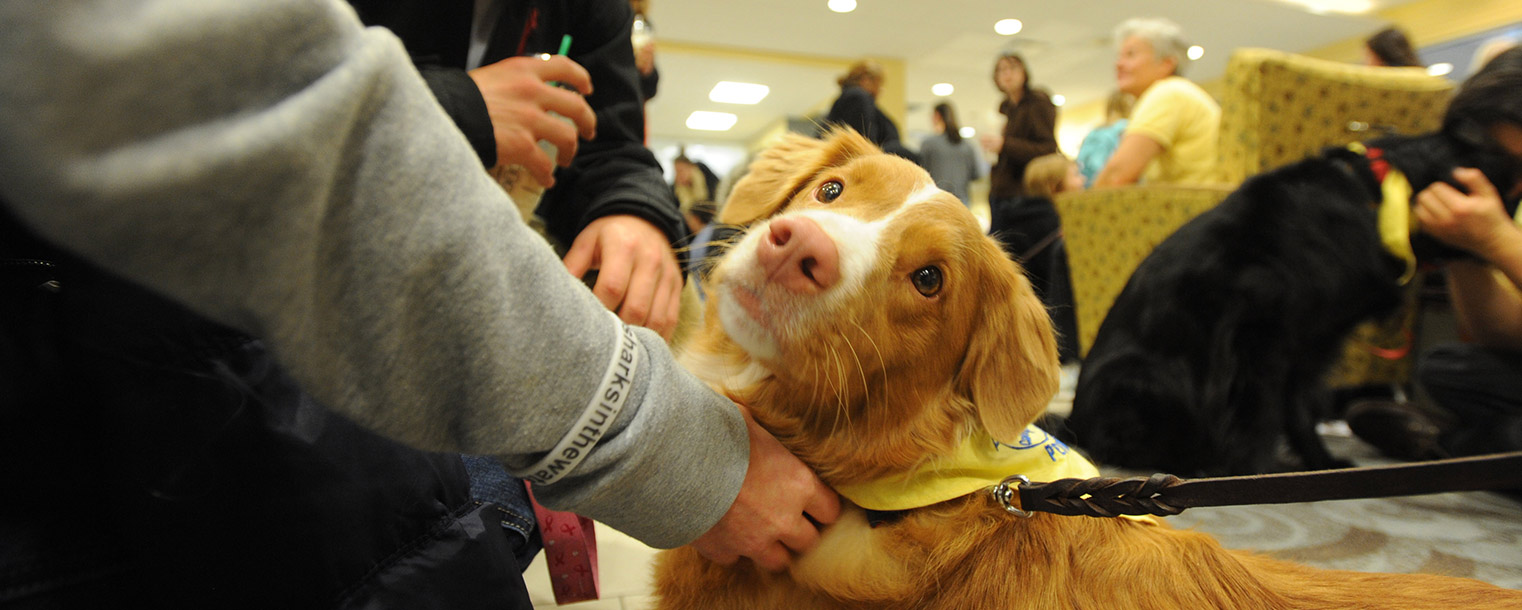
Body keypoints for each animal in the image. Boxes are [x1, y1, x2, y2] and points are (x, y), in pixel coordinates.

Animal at [1065, 131, 1515, 474]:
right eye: (1480, 155)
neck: (1369, 199)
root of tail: (1072, 421)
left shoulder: (1311, 346)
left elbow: (1298, 413)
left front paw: (1321, 462)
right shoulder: (1259, 338)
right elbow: (1261, 415)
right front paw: (1255, 471)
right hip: (1136, 375)